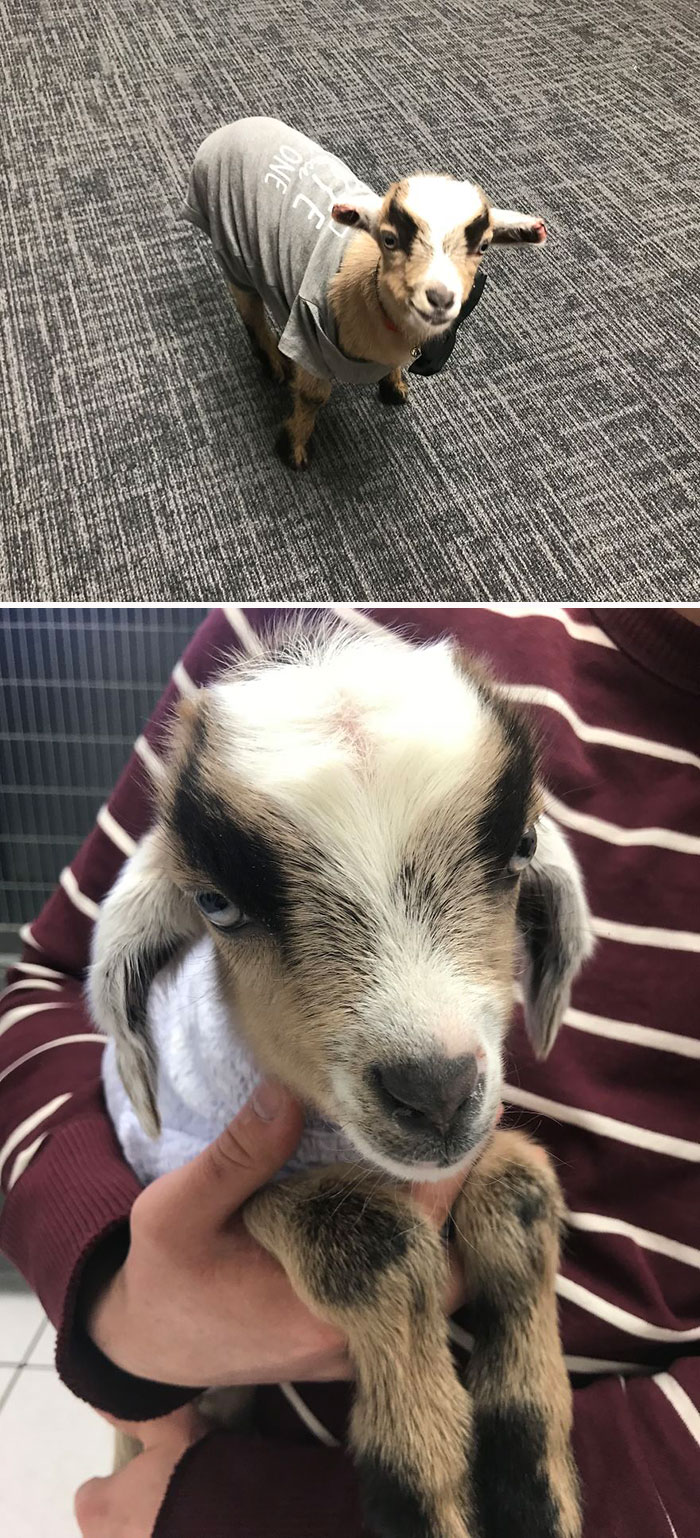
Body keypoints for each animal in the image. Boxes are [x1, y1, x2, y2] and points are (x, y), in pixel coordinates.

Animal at [180, 118, 547, 469]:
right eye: (389, 239)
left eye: (484, 245)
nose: (441, 298)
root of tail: (226, 131)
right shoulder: (308, 336)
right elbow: (314, 396)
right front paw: (294, 449)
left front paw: (394, 386)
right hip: (231, 249)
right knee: (251, 311)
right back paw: (274, 362)